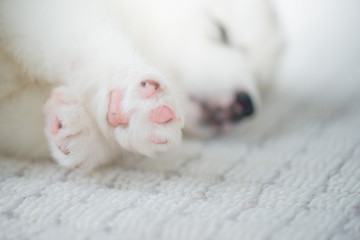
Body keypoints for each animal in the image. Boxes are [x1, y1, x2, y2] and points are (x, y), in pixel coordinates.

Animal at [0, 0, 282, 169]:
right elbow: (82, 32)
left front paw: (79, 128)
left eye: (260, 82)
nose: (246, 106)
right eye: (222, 32)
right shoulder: (43, 12)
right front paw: (130, 91)